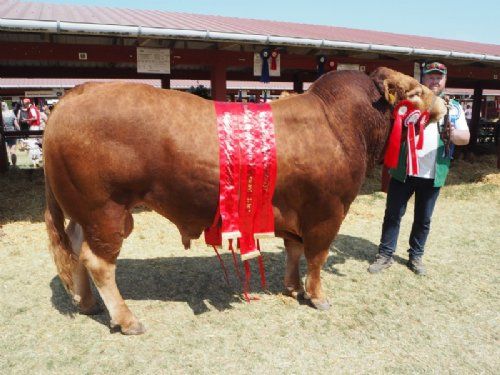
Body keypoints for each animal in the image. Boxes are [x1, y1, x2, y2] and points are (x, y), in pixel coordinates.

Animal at [44, 67, 446, 334]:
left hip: (85, 212)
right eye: (414, 92)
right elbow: (316, 257)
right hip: (106, 209)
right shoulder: (327, 212)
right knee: (98, 262)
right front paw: (317, 296)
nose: (443, 105)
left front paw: (292, 287)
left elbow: (294, 250)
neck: (337, 122)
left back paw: (88, 304)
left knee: (76, 249)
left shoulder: (295, 211)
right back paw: (127, 320)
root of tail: (74, 95)